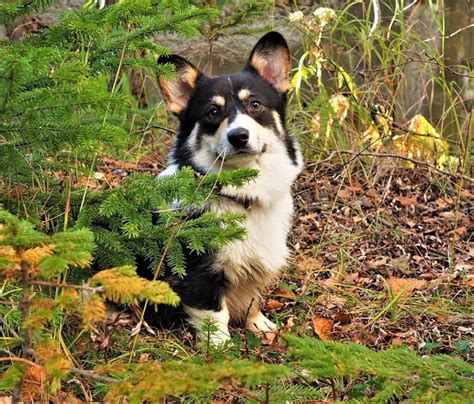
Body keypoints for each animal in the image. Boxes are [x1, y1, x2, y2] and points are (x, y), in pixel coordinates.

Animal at [156, 31, 304, 342]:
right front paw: (221, 346)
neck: (242, 196)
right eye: (213, 112)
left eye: (255, 104)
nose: (239, 136)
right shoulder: (199, 272)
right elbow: (215, 314)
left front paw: (259, 325)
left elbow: (252, 301)